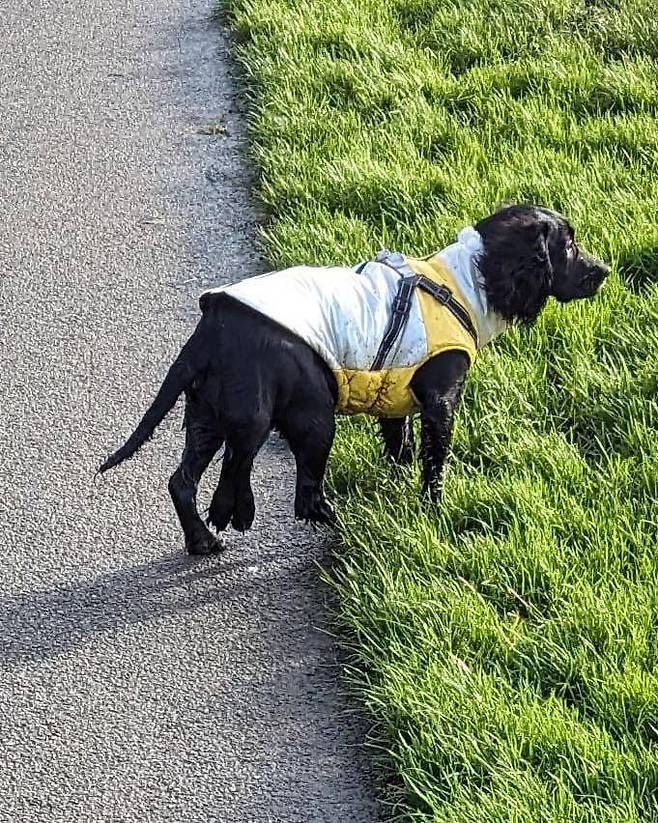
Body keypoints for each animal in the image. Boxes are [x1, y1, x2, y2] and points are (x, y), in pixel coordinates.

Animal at [100, 203, 608, 556]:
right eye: (568, 246)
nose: (603, 272)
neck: (467, 283)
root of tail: (211, 329)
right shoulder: (441, 401)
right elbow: (434, 464)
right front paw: (433, 511)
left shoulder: (399, 401)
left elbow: (400, 448)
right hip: (297, 414)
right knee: (280, 488)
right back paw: (331, 525)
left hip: (207, 414)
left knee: (183, 481)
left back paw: (204, 539)